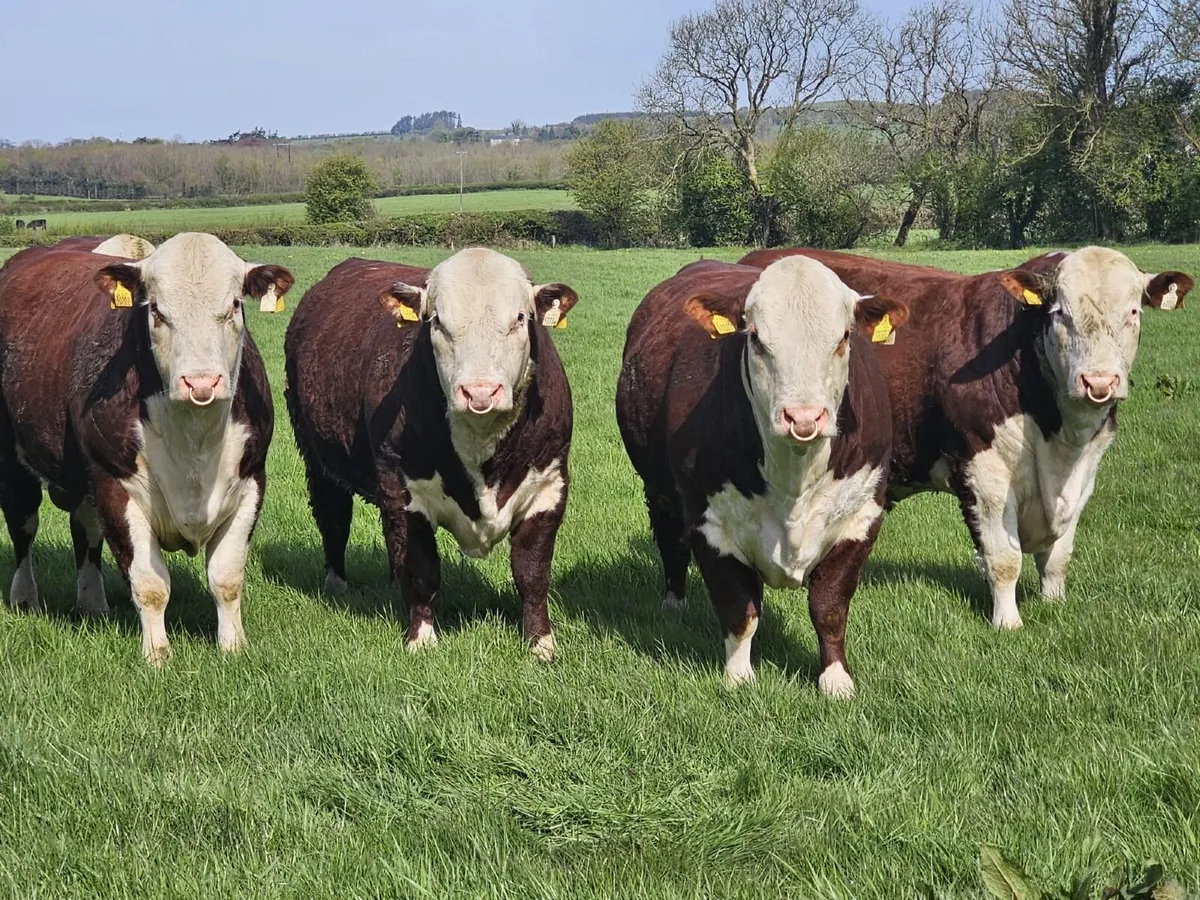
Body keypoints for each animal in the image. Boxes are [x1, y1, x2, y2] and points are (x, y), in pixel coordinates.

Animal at [0, 232, 293, 665]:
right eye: (155, 310)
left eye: (235, 305)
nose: (201, 382)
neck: (195, 438)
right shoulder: (115, 485)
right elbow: (150, 584)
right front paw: (157, 655)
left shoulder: (252, 479)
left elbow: (226, 578)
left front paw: (233, 646)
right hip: (16, 463)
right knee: (23, 527)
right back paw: (25, 598)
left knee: (85, 531)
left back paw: (93, 603)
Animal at [284, 249, 579, 660]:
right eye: (437, 321)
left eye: (521, 318)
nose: (480, 392)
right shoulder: (403, 492)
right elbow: (422, 569)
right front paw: (421, 639)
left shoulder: (549, 486)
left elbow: (532, 572)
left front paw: (541, 644)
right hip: (318, 458)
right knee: (333, 517)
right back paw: (337, 583)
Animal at [615, 257, 909, 697]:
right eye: (755, 339)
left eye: (844, 337)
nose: (803, 417)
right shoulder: (710, 524)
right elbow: (740, 611)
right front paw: (738, 676)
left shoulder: (862, 516)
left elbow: (830, 608)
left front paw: (836, 680)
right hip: (659, 491)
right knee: (671, 542)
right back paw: (674, 603)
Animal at [736, 246, 1193, 630]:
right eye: (1060, 313)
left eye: (1133, 312)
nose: (1099, 382)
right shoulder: (984, 472)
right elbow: (1004, 559)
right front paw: (1008, 623)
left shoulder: (1085, 472)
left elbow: (1058, 557)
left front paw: (1054, 604)